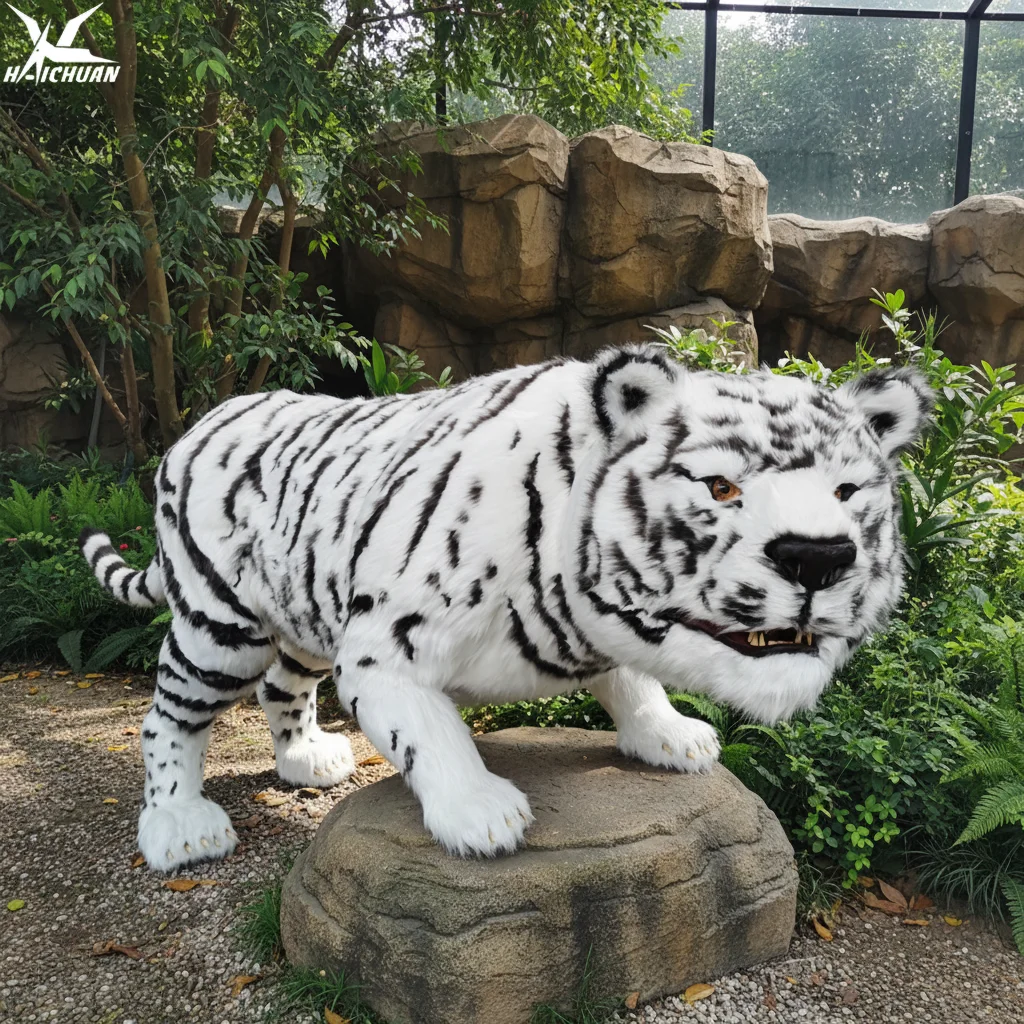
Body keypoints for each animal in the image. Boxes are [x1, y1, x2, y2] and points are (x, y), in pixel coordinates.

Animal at [79, 343, 931, 871]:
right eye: (721, 488)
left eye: (846, 492)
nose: (819, 556)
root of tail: (197, 428)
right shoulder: (380, 648)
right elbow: (431, 733)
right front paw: (481, 816)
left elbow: (632, 679)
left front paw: (671, 737)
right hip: (220, 625)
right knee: (168, 715)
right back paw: (179, 830)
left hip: (305, 614)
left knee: (281, 687)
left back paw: (306, 761)